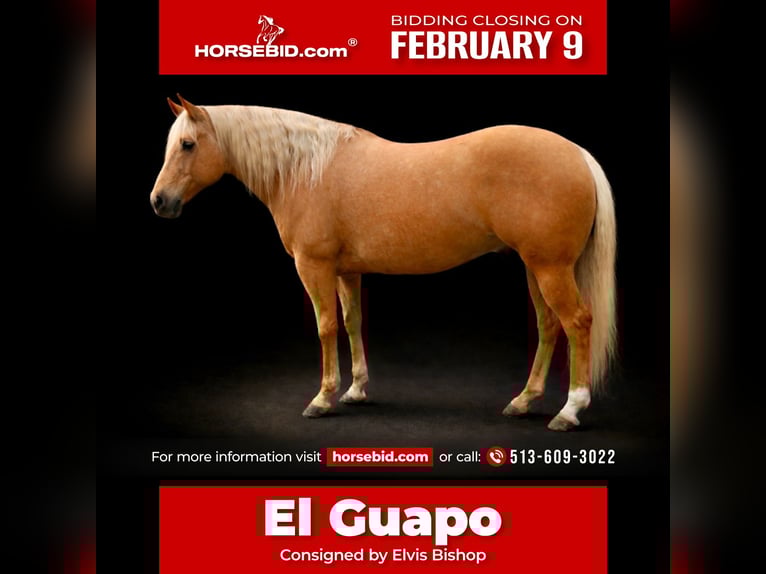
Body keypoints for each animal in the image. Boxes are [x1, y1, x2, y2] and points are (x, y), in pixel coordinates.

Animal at [150, 95, 617, 431]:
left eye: (188, 145)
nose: (159, 202)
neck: (306, 169)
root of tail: (577, 154)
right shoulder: (346, 271)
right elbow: (352, 321)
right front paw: (356, 390)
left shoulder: (314, 267)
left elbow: (326, 327)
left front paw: (322, 398)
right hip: (535, 268)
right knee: (548, 325)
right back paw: (523, 401)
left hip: (551, 268)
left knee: (577, 322)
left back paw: (569, 410)